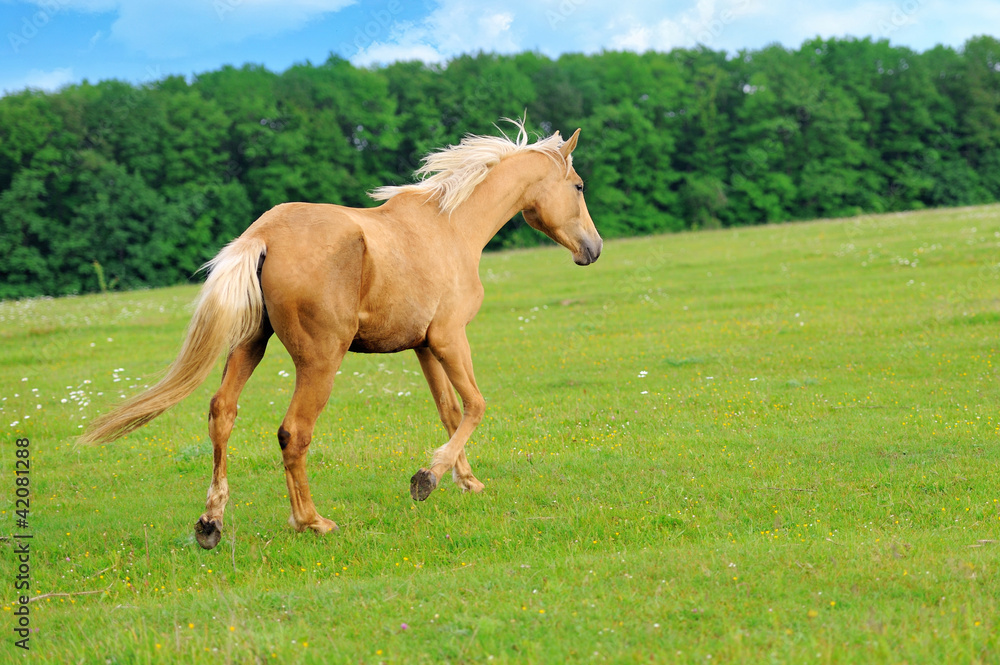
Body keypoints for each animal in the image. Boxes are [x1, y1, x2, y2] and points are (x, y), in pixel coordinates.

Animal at [81, 119, 602, 550]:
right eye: (578, 186)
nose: (593, 249)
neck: (451, 228)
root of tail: (263, 235)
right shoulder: (450, 338)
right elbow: (475, 405)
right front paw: (426, 479)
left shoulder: (424, 346)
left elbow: (450, 411)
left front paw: (466, 481)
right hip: (320, 361)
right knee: (294, 433)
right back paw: (311, 522)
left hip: (249, 345)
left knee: (222, 414)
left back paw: (211, 523)